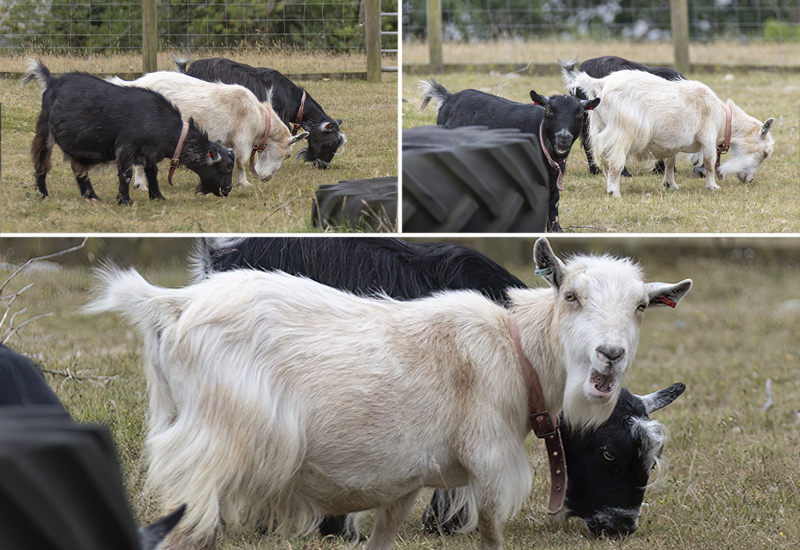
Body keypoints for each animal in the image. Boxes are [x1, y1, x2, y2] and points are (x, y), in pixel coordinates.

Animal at [23, 59, 235, 205]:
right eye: (226, 168)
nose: (228, 190)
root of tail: (52, 81)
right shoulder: (126, 148)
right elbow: (125, 174)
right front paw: (124, 200)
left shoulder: (150, 154)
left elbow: (152, 174)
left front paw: (157, 197)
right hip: (44, 134)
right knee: (41, 163)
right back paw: (43, 194)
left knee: (79, 170)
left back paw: (92, 196)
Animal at [86, 238, 691, 550]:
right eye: (608, 451)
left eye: (641, 305)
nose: (621, 526)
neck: (514, 344)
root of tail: (175, 303)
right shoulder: (484, 453)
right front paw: (443, 526)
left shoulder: (407, 470)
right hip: (215, 442)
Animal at [108, 72, 308, 189]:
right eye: (287, 155)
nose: (266, 179)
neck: (260, 117)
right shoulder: (242, 137)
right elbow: (241, 161)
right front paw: (244, 183)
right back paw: (142, 185)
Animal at [418, 79, 599, 232]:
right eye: (548, 110)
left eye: (581, 113)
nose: (563, 138)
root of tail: (449, 97)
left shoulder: (553, 178)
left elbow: (553, 205)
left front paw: (557, 231)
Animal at [561, 59, 775, 197]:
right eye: (765, 153)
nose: (749, 180)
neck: (723, 117)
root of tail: (601, 84)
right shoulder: (707, 137)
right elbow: (709, 162)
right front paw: (713, 186)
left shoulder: (672, 143)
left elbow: (670, 163)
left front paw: (670, 185)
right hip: (622, 133)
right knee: (614, 163)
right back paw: (614, 191)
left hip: (599, 129)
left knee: (603, 159)